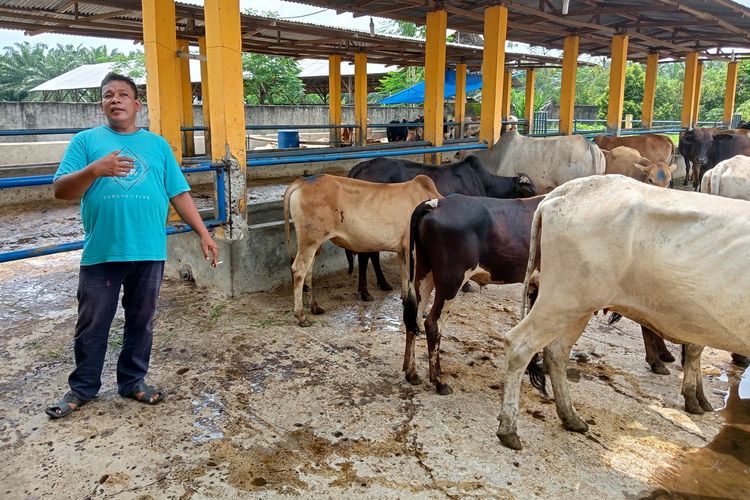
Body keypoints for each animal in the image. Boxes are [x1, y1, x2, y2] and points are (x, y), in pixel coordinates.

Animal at [284, 176, 444, 328]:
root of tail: (303, 181)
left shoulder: (402, 250)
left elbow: (405, 278)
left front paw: (406, 302)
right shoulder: (412, 250)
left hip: (314, 244)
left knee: (308, 271)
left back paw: (315, 307)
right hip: (310, 241)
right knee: (299, 270)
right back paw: (301, 316)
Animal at [348, 155, 540, 300]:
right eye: (528, 186)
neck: (485, 183)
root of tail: (362, 166)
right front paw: (467, 285)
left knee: (372, 254)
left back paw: (383, 284)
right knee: (366, 255)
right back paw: (365, 292)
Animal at [402, 195, 544, 394]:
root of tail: (436, 203)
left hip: (423, 273)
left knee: (413, 318)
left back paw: (412, 373)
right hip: (451, 280)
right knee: (433, 324)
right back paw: (439, 381)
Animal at [500, 175, 750, 450]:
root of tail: (571, 187)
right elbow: (694, 350)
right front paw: (695, 399)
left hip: (577, 305)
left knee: (556, 352)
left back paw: (571, 418)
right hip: (561, 298)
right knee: (520, 345)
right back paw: (509, 428)